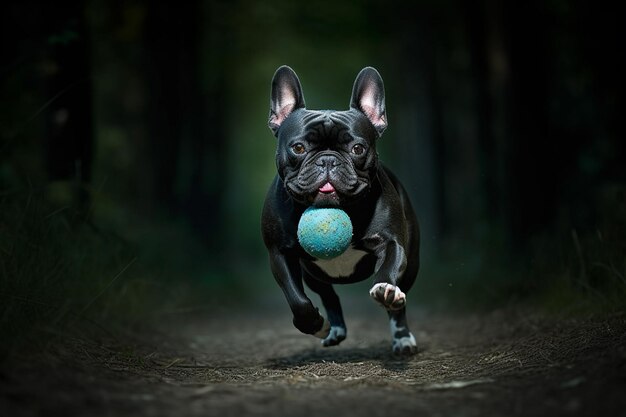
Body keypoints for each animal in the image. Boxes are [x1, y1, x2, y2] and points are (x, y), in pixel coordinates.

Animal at [258, 66, 420, 354]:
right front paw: (313, 323)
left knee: (399, 302)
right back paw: (333, 328)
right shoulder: (280, 254)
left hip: (412, 265)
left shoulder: (392, 243)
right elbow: (296, 298)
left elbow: (388, 269)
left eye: (357, 148)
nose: (328, 159)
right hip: (313, 273)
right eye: (298, 147)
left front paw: (387, 291)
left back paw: (401, 335)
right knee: (328, 294)